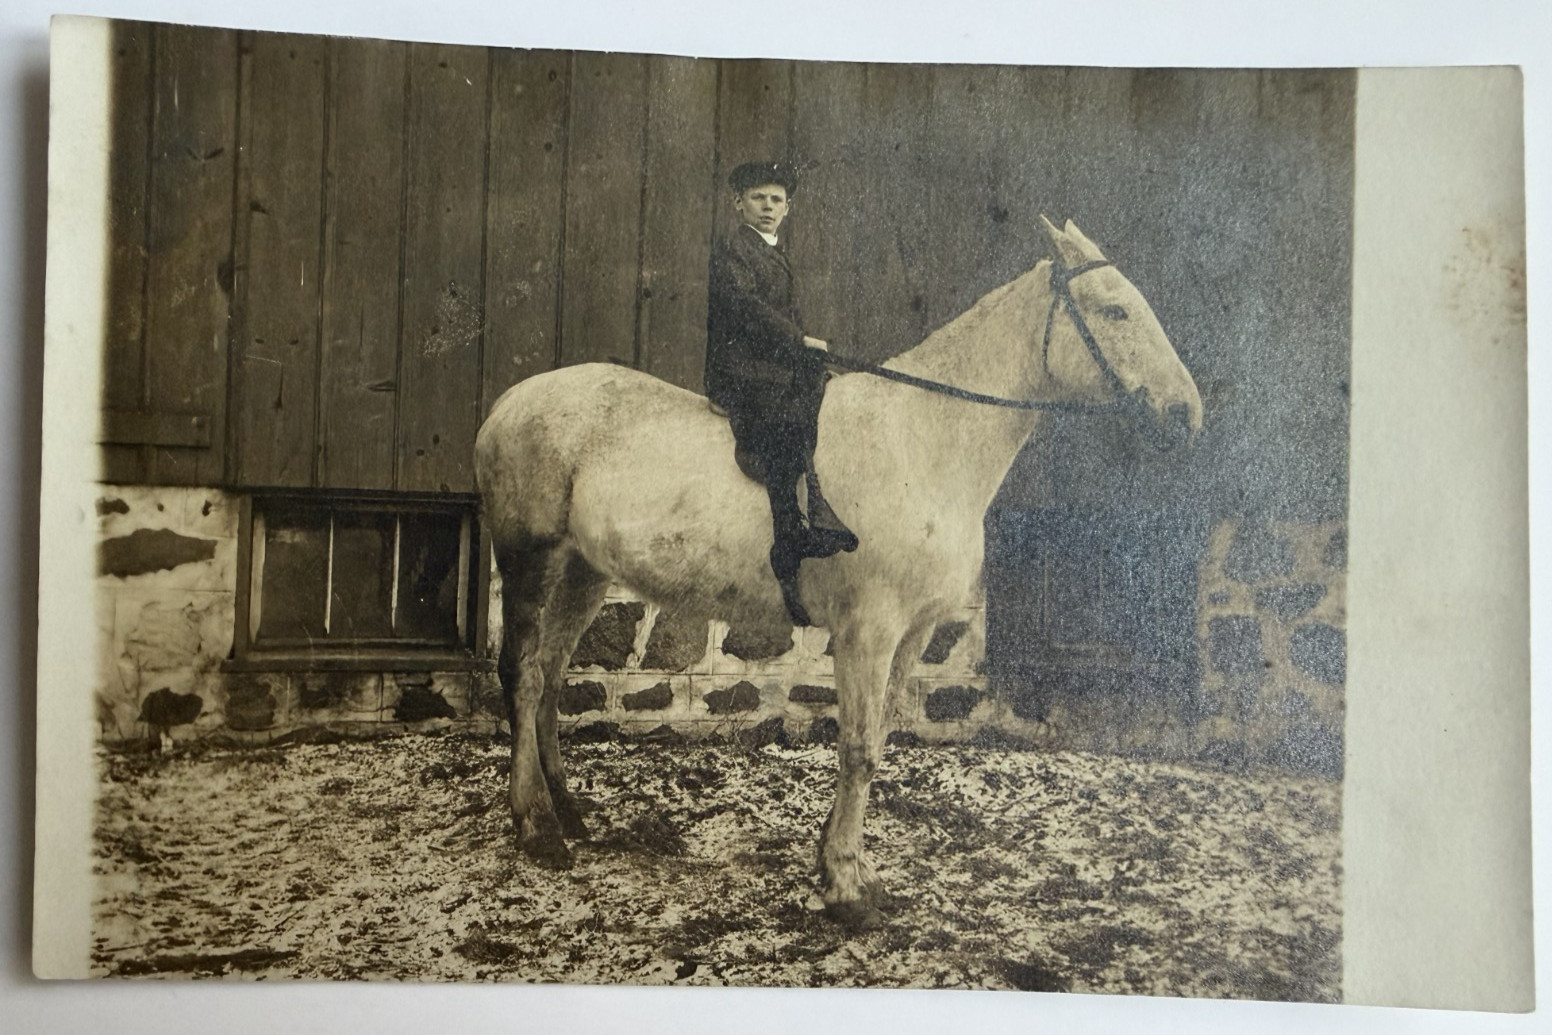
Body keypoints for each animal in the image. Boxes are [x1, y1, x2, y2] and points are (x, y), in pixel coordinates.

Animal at [474, 217, 1203, 928]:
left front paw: (839, 865)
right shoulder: (866, 630)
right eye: (1114, 309)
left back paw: (569, 814)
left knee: (551, 676)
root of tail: (506, 404)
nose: (1186, 413)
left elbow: (878, 732)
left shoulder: (913, 632)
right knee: (526, 674)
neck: (926, 436)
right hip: (531, 558)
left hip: (585, 572)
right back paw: (537, 828)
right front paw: (847, 887)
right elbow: (857, 748)